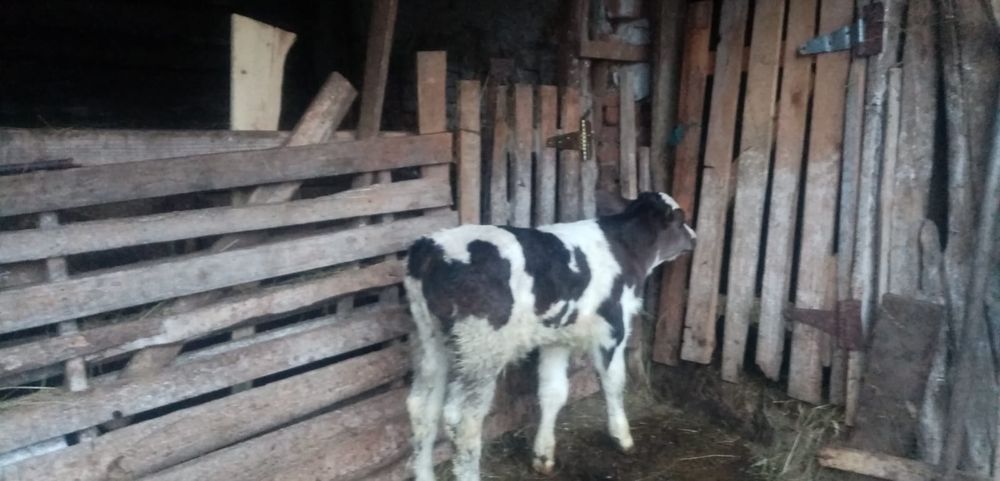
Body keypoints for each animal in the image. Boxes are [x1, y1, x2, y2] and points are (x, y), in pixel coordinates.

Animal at [403, 192, 696, 481]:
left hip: (429, 340)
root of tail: (430, 249)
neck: (624, 247)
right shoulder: (614, 327)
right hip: (480, 349)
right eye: (680, 219)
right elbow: (614, 381)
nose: (694, 238)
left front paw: (543, 455)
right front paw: (622, 436)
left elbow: (553, 392)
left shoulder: (557, 337)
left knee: (422, 407)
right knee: (463, 421)